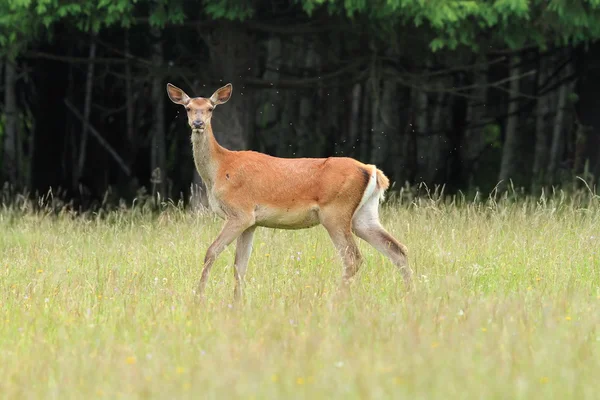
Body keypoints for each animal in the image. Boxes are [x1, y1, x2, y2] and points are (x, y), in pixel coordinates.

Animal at [168, 82, 412, 300]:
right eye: (188, 107)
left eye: (211, 108)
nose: (198, 122)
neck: (219, 170)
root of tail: (373, 171)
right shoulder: (251, 222)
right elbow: (240, 266)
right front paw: (237, 303)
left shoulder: (240, 213)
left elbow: (211, 252)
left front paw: (198, 297)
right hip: (363, 215)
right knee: (398, 250)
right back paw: (410, 294)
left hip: (336, 212)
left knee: (353, 258)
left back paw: (336, 300)